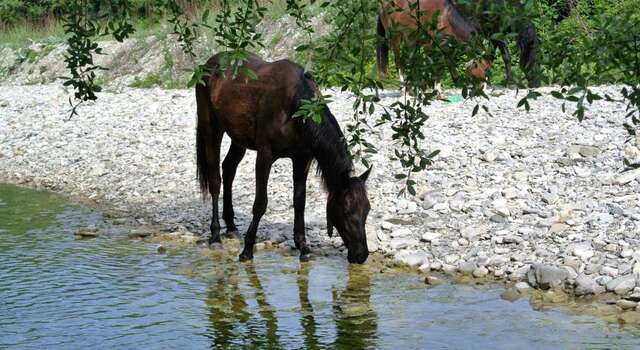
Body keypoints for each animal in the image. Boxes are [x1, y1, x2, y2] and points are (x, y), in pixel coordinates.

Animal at [195, 52, 370, 262]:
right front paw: (247, 249)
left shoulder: (302, 159)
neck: (295, 105)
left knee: (228, 169)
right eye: (346, 210)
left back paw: (230, 226)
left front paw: (302, 245)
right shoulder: (265, 156)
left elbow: (300, 201)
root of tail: (209, 63)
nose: (361, 255)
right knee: (215, 179)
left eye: (367, 210)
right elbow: (260, 204)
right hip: (211, 129)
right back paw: (215, 234)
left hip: (238, 138)